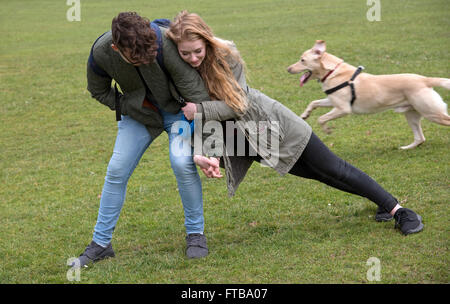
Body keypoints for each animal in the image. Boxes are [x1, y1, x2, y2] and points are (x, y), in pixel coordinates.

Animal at [288, 40, 450, 150]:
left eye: (302, 60)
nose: (287, 68)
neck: (332, 71)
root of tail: (425, 79)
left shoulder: (343, 109)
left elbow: (321, 118)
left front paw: (327, 129)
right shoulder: (332, 101)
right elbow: (314, 102)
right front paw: (305, 114)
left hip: (432, 113)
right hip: (412, 114)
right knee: (420, 138)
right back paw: (405, 148)